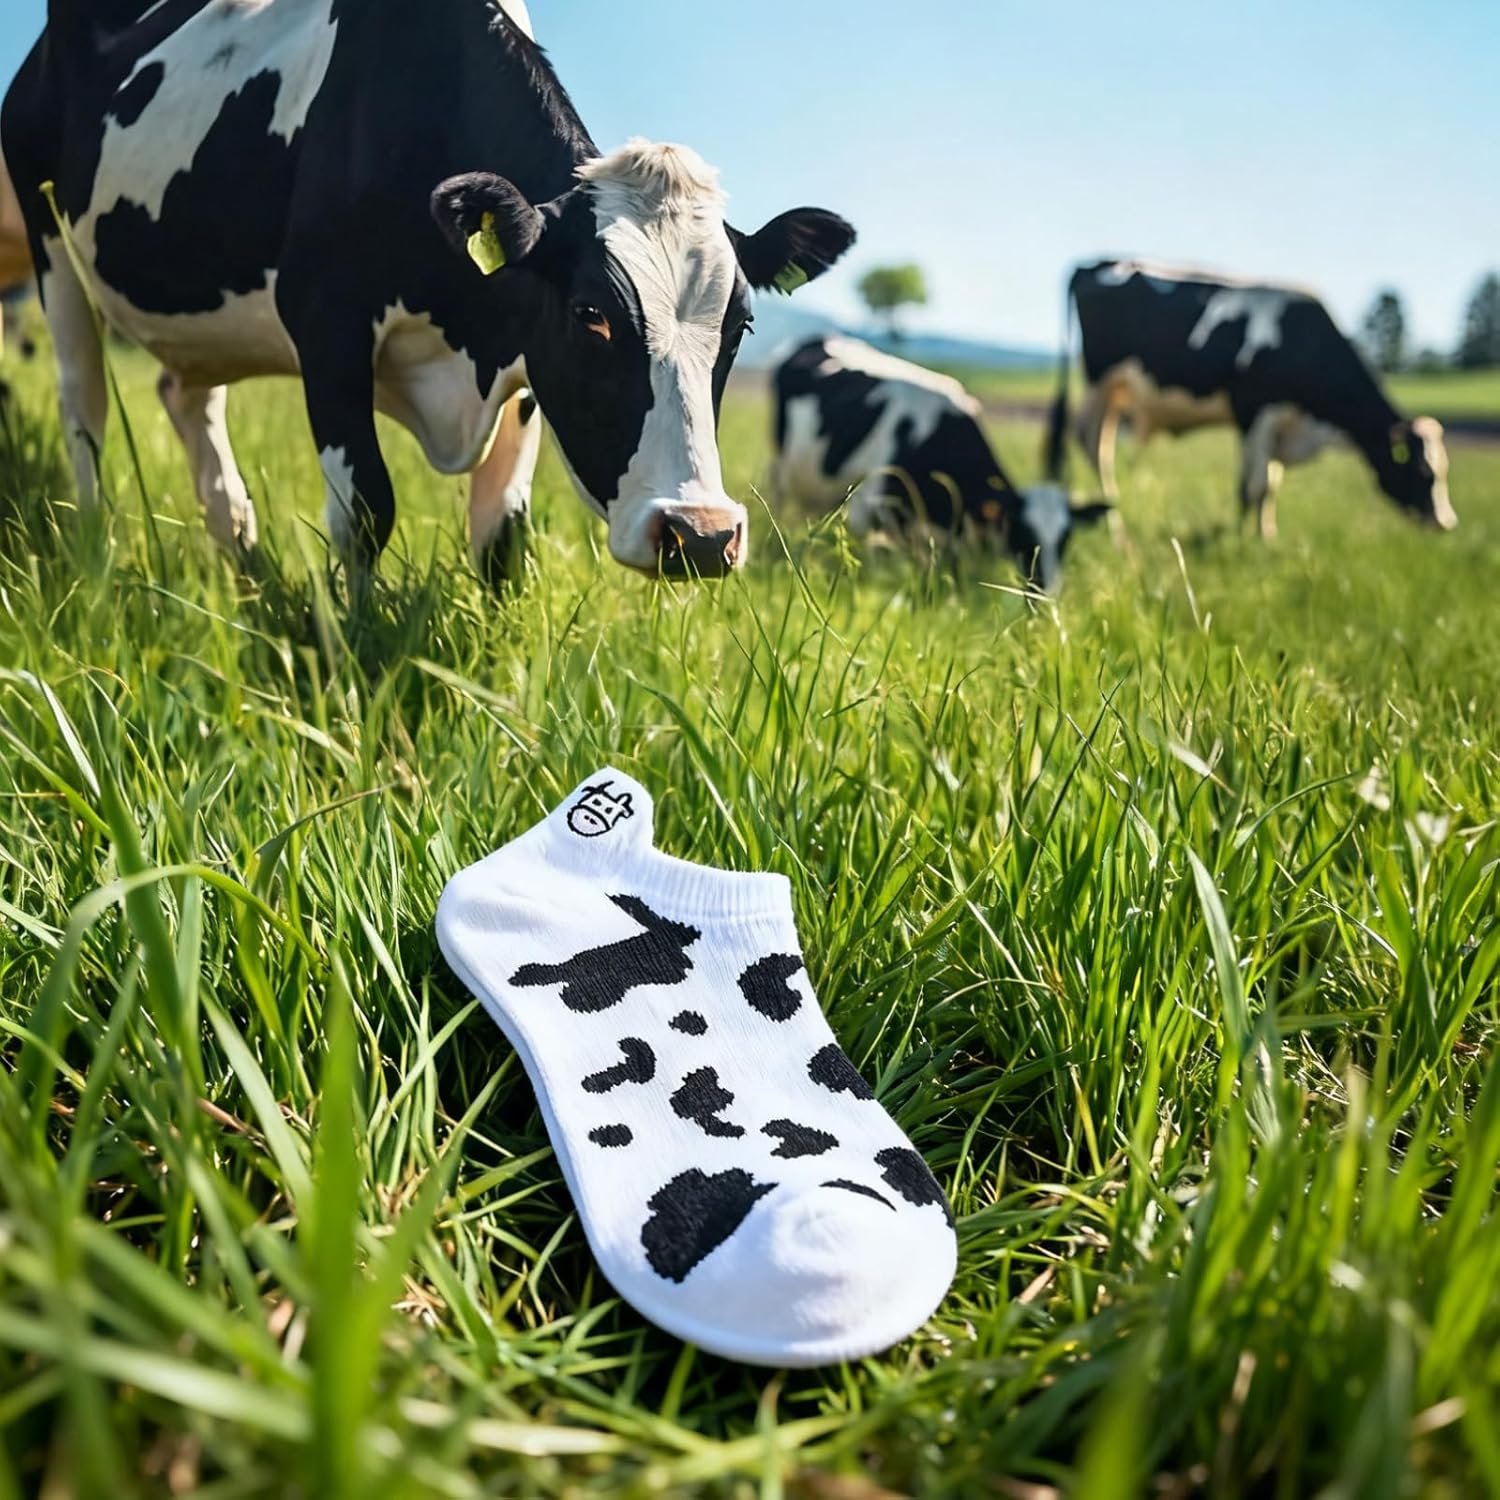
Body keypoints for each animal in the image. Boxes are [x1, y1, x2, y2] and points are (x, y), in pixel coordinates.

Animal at [1, 0, 854, 581]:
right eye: (592, 315)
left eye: (741, 328)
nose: (702, 536)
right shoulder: (328, 325)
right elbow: (365, 510)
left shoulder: (519, 360)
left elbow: (501, 536)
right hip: (51, 246)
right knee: (84, 406)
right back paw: (94, 550)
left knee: (189, 398)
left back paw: (239, 555)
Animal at [1044, 259, 1456, 539]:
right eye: (1423, 472)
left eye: (1443, 470)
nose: (1446, 521)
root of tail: (1092, 265)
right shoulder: (1255, 412)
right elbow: (1257, 485)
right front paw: (1248, 540)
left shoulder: (1272, 426)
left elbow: (1264, 486)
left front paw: (1261, 535)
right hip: (1100, 382)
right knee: (1095, 445)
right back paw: (1112, 523)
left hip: (1117, 392)